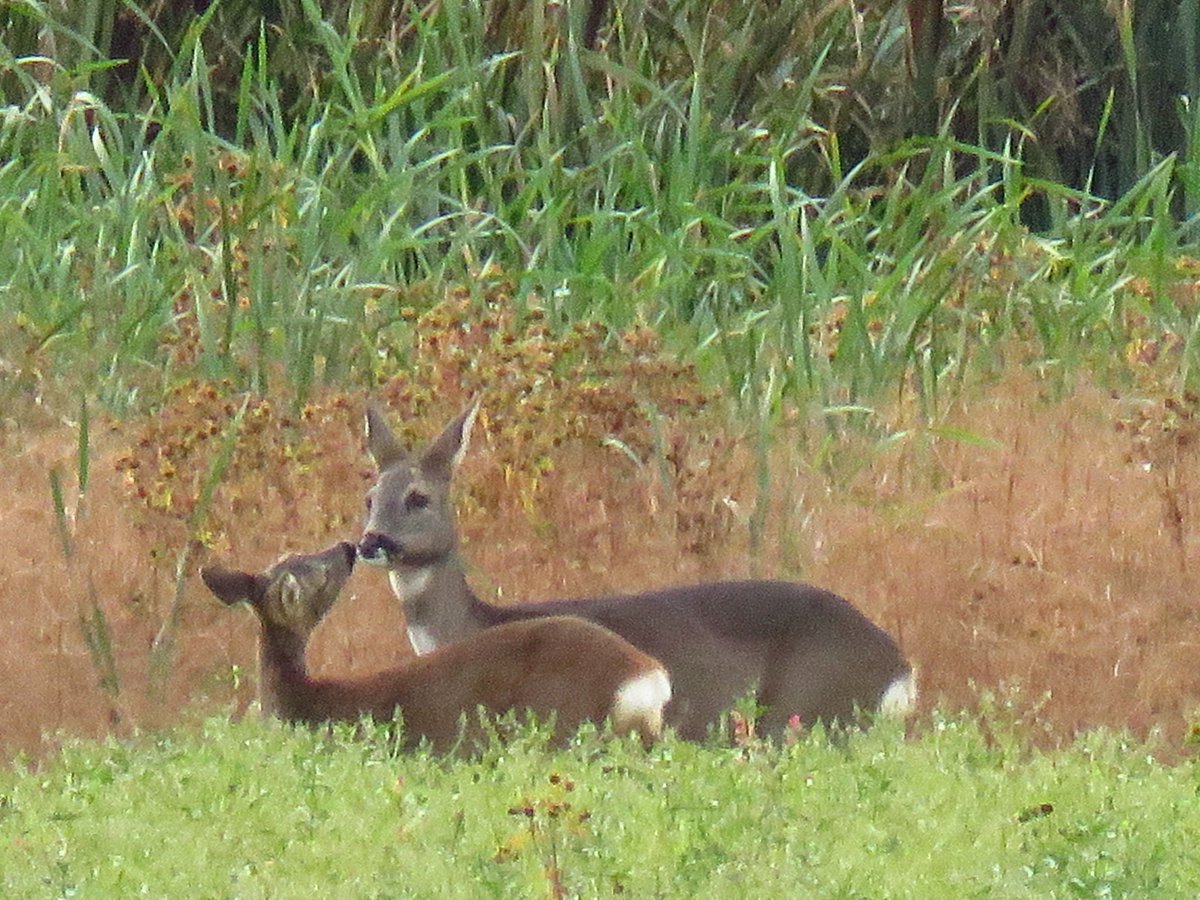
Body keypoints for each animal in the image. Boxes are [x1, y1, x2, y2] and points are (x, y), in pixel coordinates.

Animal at [357, 402, 918, 742]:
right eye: (370, 498)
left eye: (418, 498)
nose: (371, 542)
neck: (479, 624)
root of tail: (898, 666)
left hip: (804, 708)